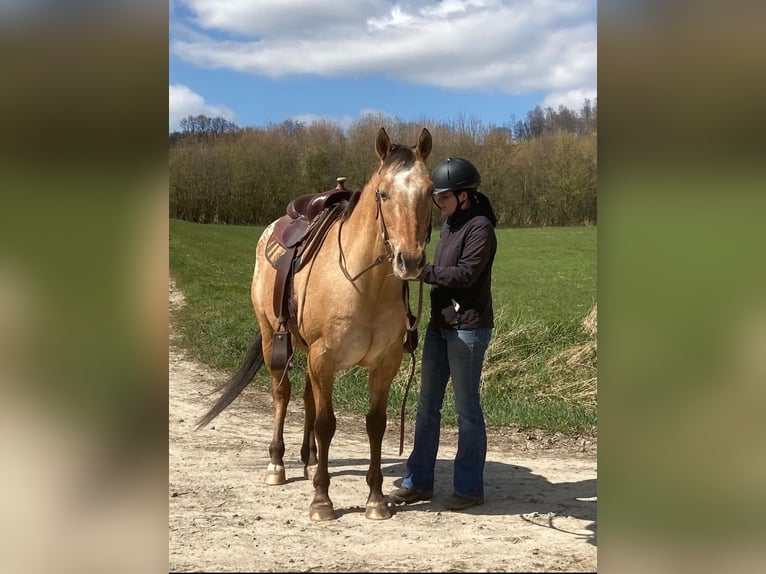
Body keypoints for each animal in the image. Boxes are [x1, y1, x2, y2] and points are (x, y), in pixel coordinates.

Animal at [196, 127, 433, 521]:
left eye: (430, 191)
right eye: (383, 193)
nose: (410, 261)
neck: (365, 283)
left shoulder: (384, 364)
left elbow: (375, 424)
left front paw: (375, 499)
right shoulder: (324, 358)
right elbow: (327, 423)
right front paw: (322, 500)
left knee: (307, 398)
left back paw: (308, 463)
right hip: (273, 339)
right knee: (283, 394)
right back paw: (278, 465)